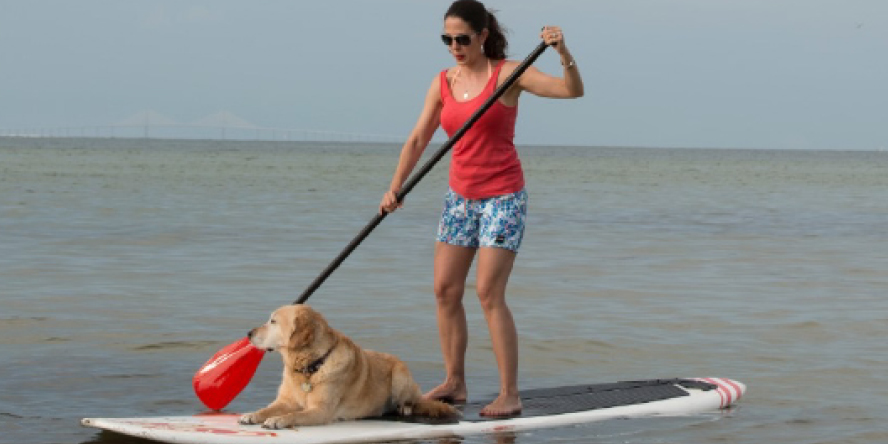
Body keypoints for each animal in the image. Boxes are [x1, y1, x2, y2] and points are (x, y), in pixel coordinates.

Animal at [239, 304, 458, 428]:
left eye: (273, 321)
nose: (248, 333)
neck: (310, 366)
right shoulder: (284, 401)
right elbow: (267, 409)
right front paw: (252, 415)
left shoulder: (320, 410)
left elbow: (295, 414)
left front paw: (279, 420)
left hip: (400, 376)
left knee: (412, 401)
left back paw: (405, 408)